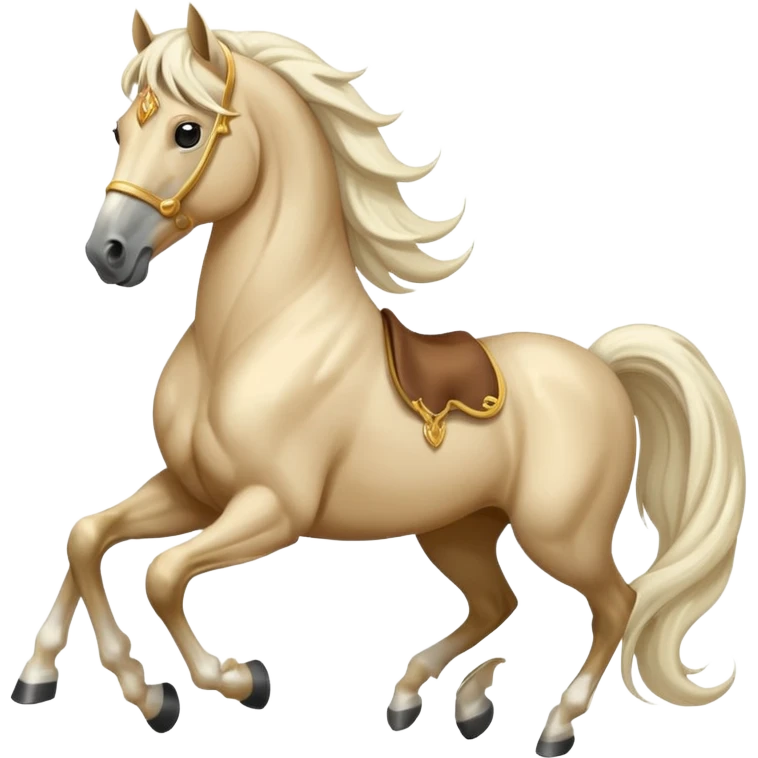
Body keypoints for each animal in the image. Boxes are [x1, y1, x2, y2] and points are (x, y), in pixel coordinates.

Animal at [13, 5, 746, 753]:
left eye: (186, 131)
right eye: (120, 130)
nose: (108, 252)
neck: (256, 334)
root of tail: (601, 367)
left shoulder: (271, 508)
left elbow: (160, 575)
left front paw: (233, 682)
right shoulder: (196, 492)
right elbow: (87, 537)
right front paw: (60, 678)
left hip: (559, 533)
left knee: (616, 601)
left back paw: (555, 725)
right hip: (457, 528)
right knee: (498, 601)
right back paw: (435, 700)